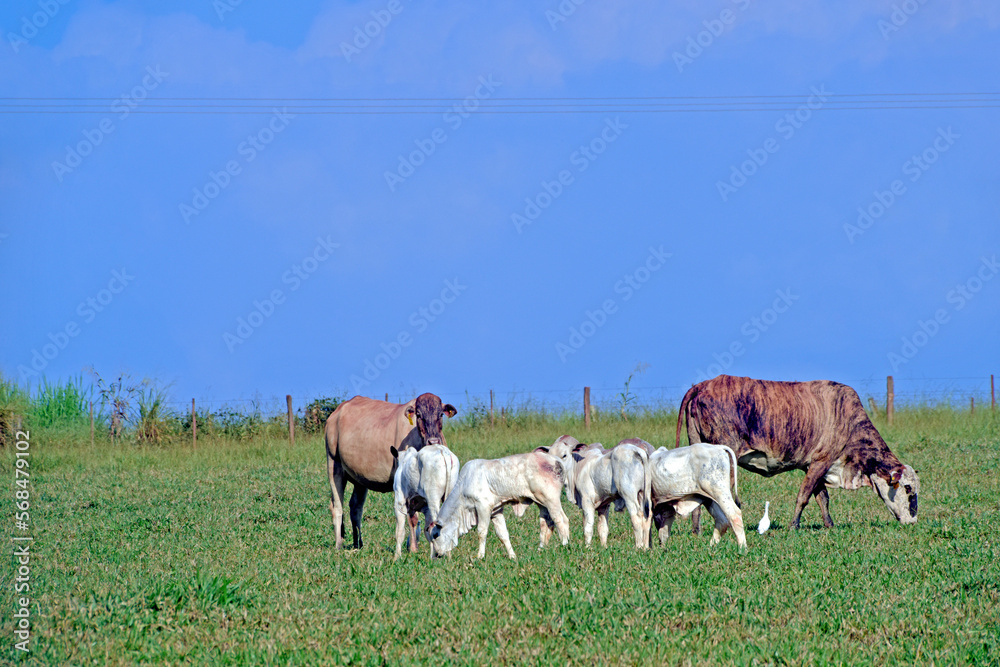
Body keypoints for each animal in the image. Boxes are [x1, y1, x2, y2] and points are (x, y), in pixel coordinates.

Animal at [325, 393, 457, 549]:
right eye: (418, 415)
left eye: (441, 414)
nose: (433, 441)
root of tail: (338, 410)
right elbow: (413, 517)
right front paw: (413, 548)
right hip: (334, 465)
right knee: (337, 506)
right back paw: (338, 545)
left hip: (360, 479)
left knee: (355, 508)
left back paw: (358, 544)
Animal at [428, 451, 570, 560]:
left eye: (435, 536)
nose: (436, 555)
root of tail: (556, 460)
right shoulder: (496, 512)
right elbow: (503, 534)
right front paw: (512, 556)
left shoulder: (483, 507)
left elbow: (482, 532)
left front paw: (480, 556)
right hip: (541, 502)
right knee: (546, 523)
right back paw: (541, 549)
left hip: (551, 500)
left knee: (561, 520)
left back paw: (564, 544)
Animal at [676, 375, 920, 530]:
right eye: (908, 488)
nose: (913, 521)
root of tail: (703, 385)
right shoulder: (821, 461)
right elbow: (803, 497)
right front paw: (794, 525)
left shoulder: (814, 465)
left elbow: (822, 497)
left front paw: (829, 525)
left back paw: (696, 530)